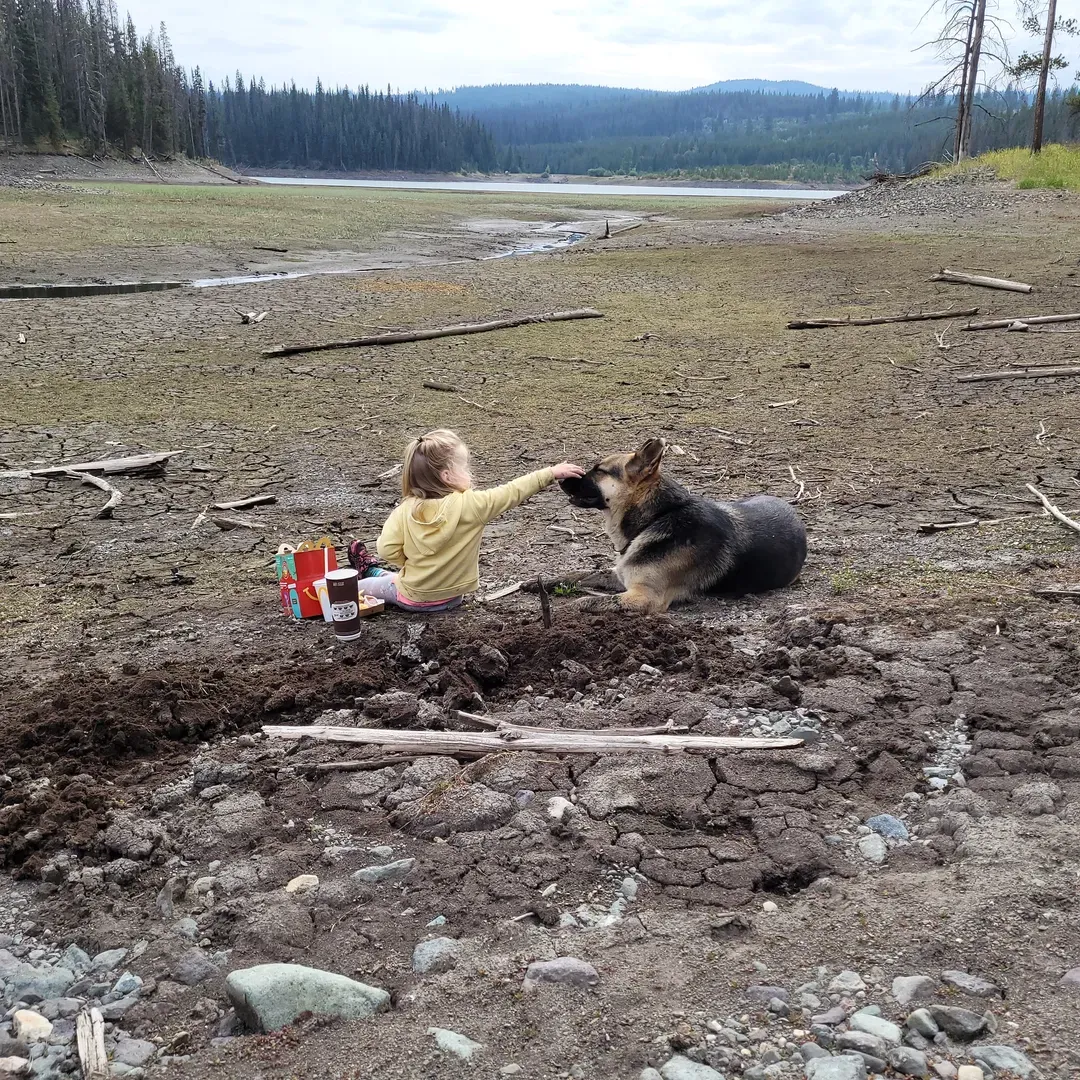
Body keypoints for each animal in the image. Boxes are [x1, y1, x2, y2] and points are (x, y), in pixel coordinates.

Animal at [561, 434, 807, 613]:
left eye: (599, 471)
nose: (563, 479)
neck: (656, 517)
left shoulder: (645, 596)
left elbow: (590, 601)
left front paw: (567, 608)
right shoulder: (620, 574)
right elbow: (579, 574)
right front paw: (553, 581)